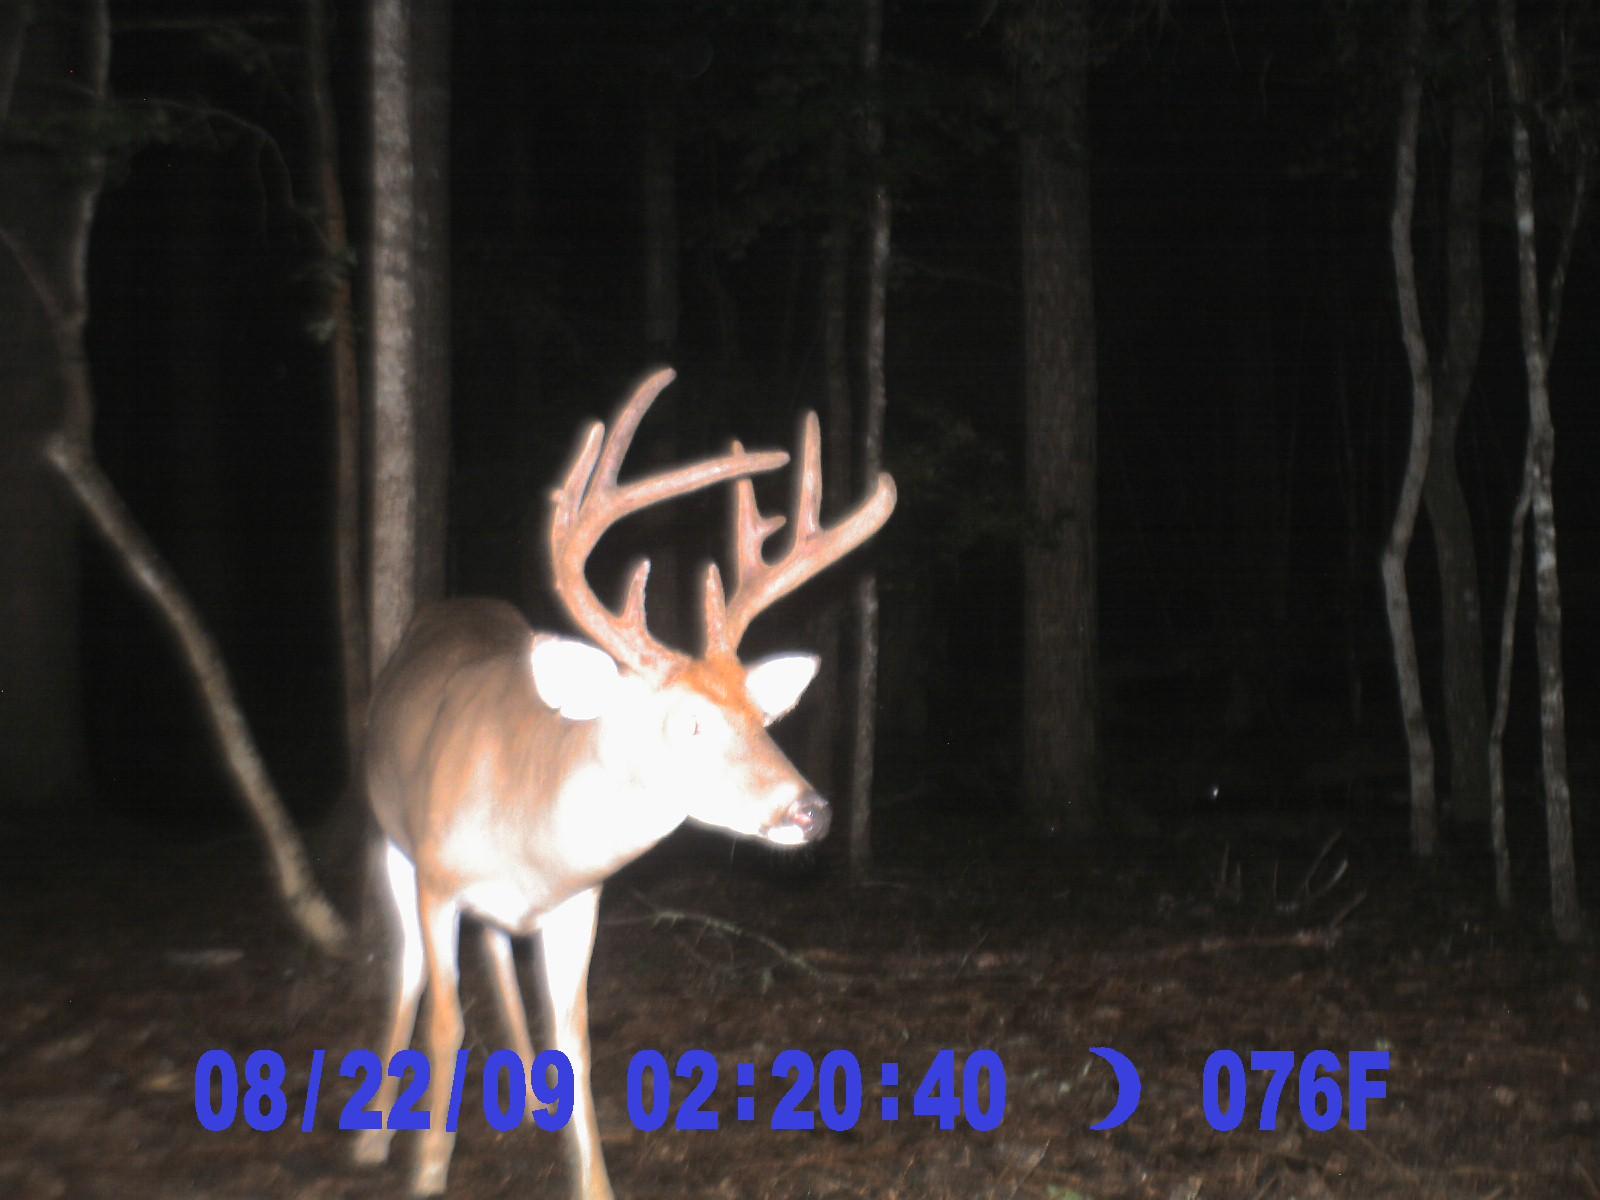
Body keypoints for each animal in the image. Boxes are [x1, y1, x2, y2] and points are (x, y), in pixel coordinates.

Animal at [353, 367, 896, 1198]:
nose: (812, 811)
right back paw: (374, 1131)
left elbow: (572, 1036)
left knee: (497, 951)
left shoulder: (580, 902)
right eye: (692, 724)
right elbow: (446, 1020)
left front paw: (590, 1175)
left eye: (763, 717)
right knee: (410, 971)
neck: (531, 842)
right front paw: (426, 1169)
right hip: (392, 842)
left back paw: (523, 1098)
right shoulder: (438, 880)